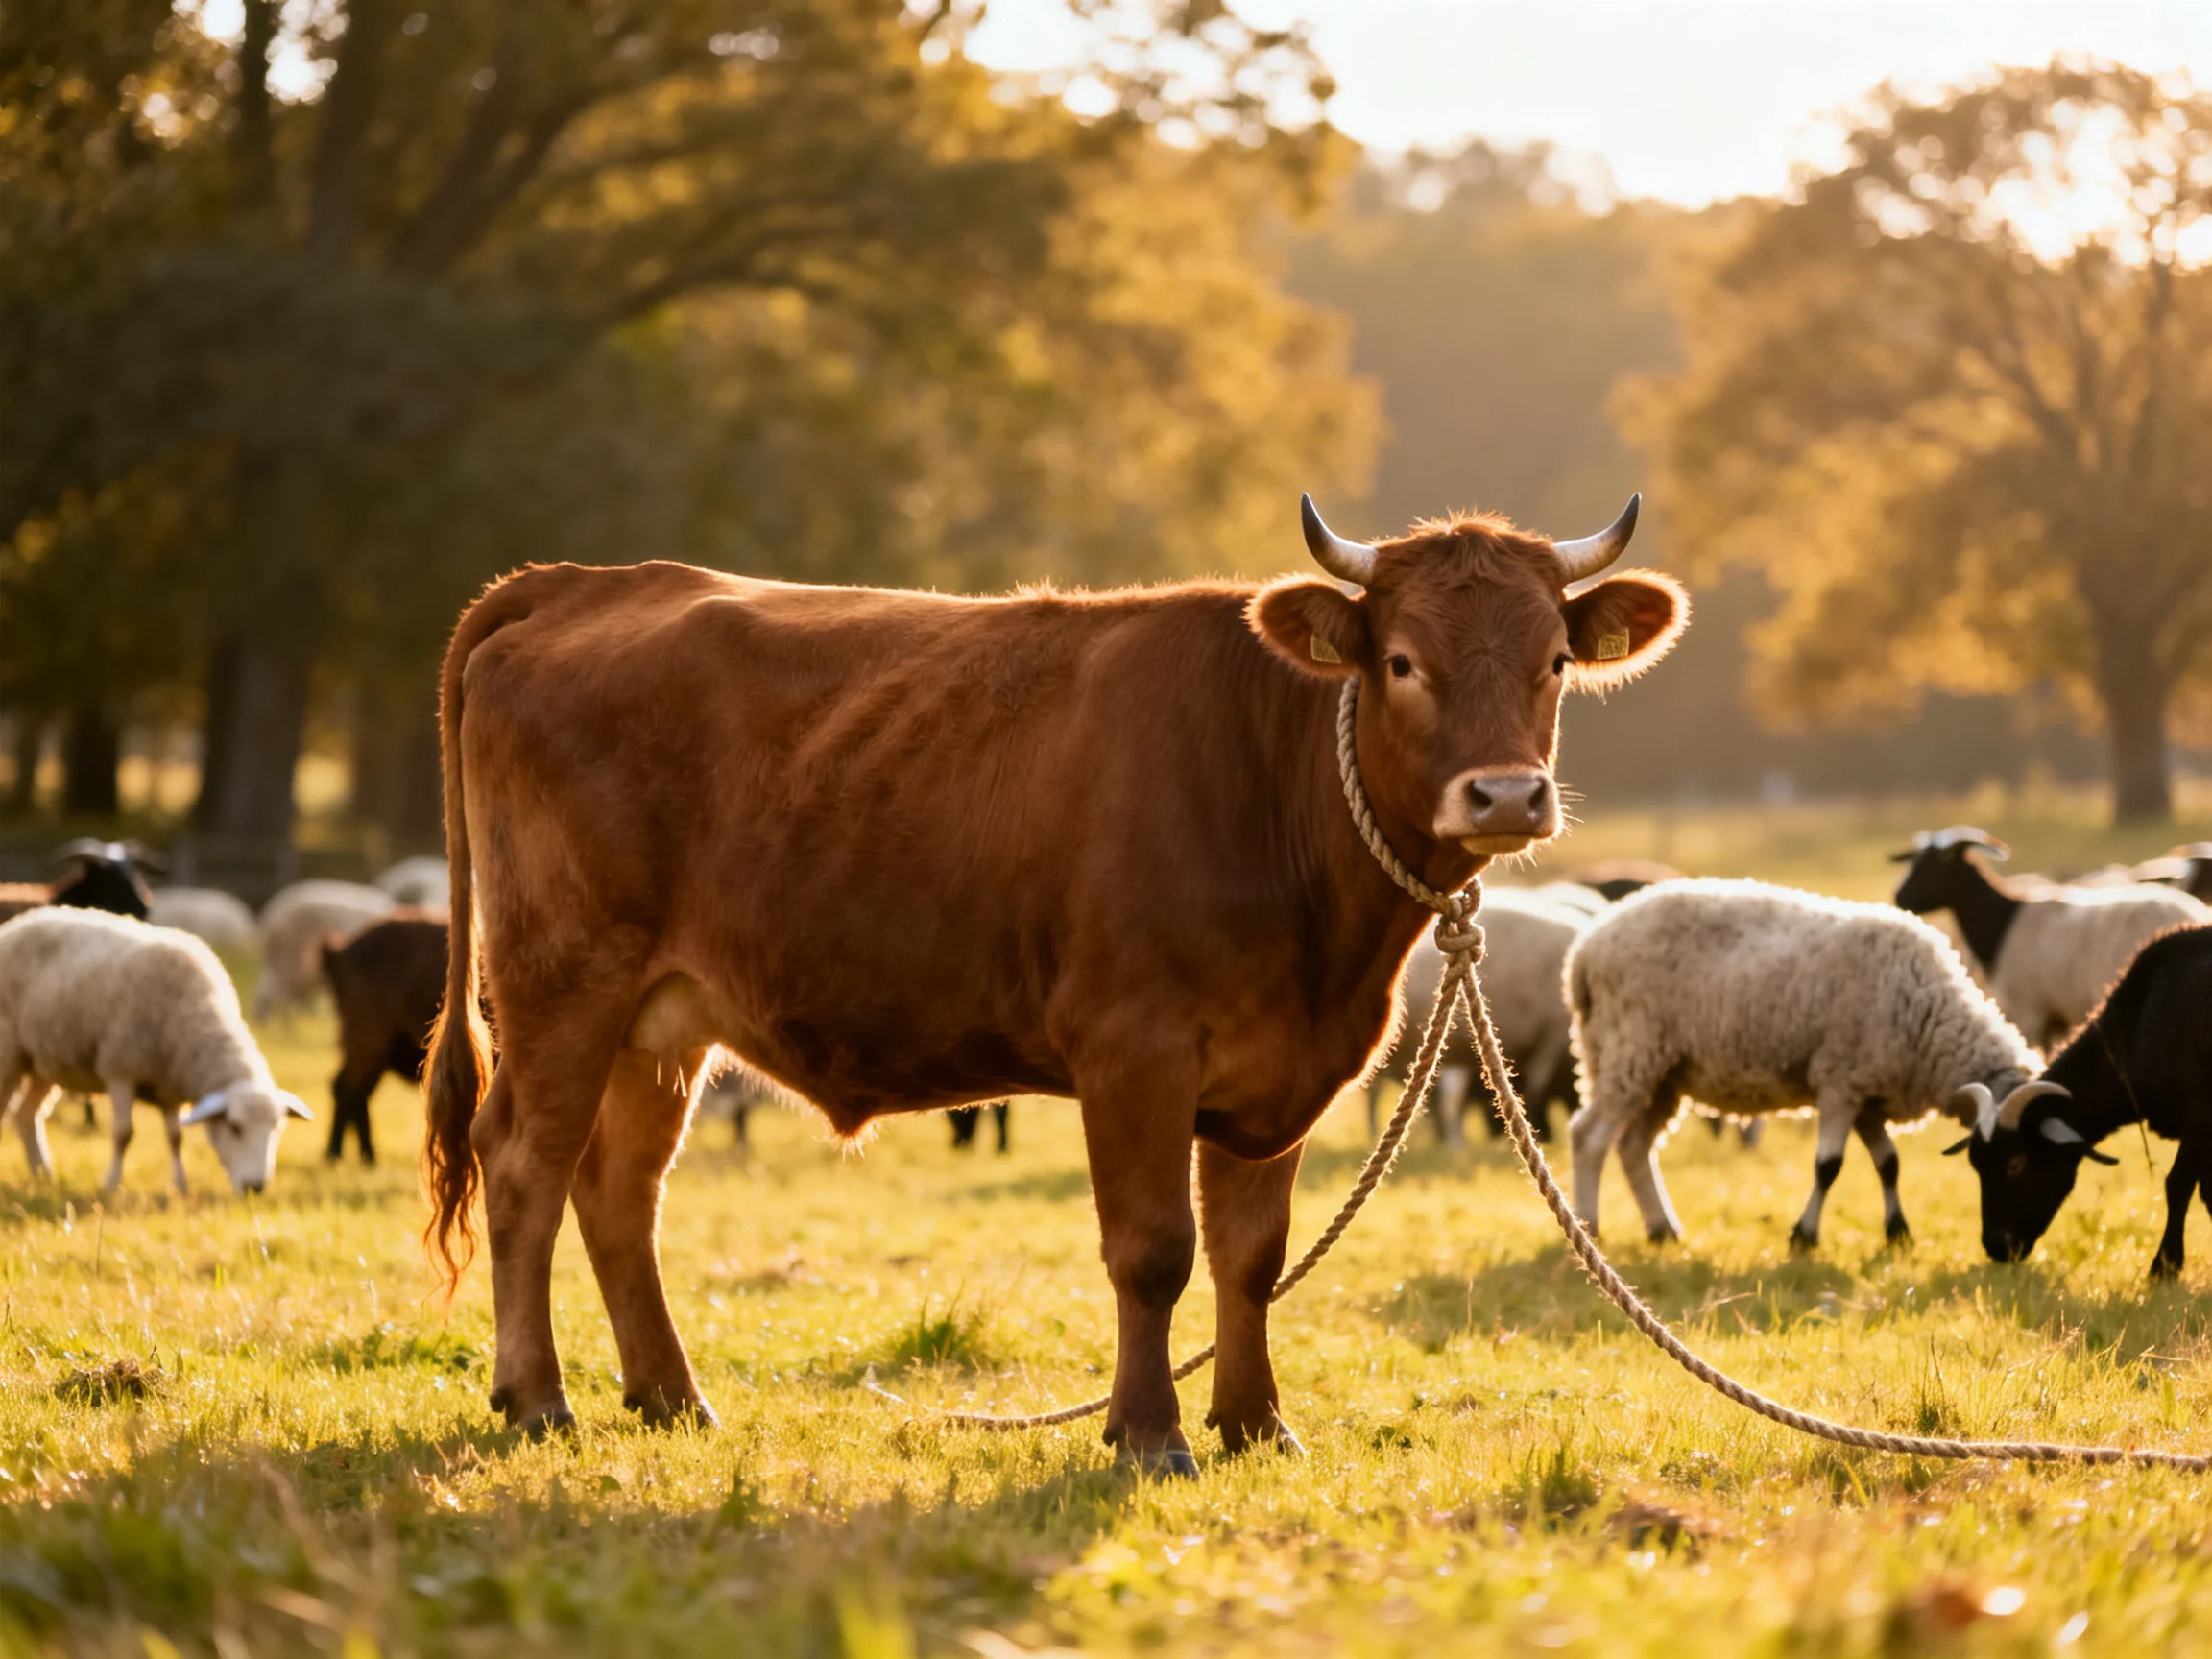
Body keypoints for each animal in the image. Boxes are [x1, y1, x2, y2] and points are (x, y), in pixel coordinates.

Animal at [0, 908, 311, 1194]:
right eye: (235, 1127)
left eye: (278, 1129)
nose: (255, 1186)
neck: (194, 1015)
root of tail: (19, 921)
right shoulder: (120, 1070)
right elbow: (123, 1133)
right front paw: (111, 1183)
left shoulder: (169, 1087)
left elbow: (175, 1137)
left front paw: (181, 1187)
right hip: (9, 1054)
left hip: (42, 1063)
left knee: (26, 1116)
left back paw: (43, 1176)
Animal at [423, 493, 1687, 1470]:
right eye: (1402, 661)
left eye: (1555, 661)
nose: (1506, 795)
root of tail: (583, 584)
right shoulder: (1134, 1048)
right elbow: (1153, 1250)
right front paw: (1150, 1433)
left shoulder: (1282, 1070)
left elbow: (1251, 1256)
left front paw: (1255, 1423)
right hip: (562, 984)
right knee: (526, 1168)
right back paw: (538, 1398)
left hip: (661, 1021)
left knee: (620, 1192)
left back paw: (671, 1396)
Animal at [1564, 878, 2046, 1249]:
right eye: (2018, 1162)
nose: (2009, 1248)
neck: (1930, 1017)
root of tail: (1584, 951)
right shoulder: (1839, 1081)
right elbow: (1828, 1166)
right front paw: (1804, 1236)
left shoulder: (1866, 1093)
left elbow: (1889, 1163)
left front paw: (1897, 1232)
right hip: (1628, 1049)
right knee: (1589, 1137)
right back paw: (1592, 1228)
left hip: (1663, 1073)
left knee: (1634, 1147)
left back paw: (1663, 1229)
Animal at [1891, 826, 2208, 1049]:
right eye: (1914, 860)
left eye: (1940, 862)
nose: (1899, 897)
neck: (2001, 922)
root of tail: (2197, 913)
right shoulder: (2053, 1020)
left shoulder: (2029, 1014)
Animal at [1948, 923, 2212, 1281]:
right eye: (1976, 1166)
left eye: (2016, 1163)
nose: (1997, 1247)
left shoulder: (2200, 1115)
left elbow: (2179, 1185)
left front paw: (2164, 1266)